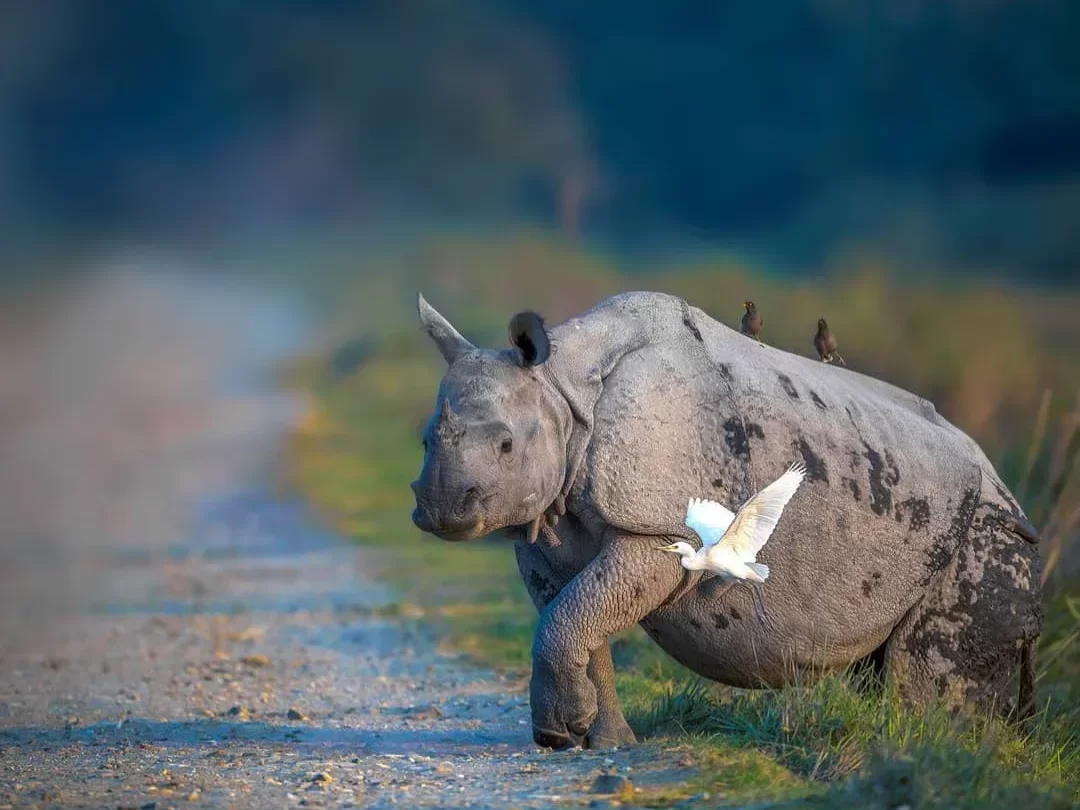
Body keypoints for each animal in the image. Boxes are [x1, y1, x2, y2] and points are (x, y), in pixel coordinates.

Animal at [409, 291, 1043, 750]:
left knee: (923, 674)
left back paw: (930, 751)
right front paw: (598, 740)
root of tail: (1011, 496)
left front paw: (558, 736)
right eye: (424, 441)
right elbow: (576, 620)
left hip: (985, 529)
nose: (441, 510)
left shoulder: (663, 529)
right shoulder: (547, 529)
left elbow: (570, 618)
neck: (565, 390)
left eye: (507, 446)